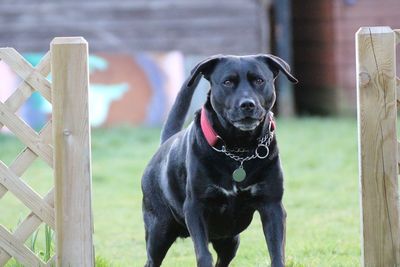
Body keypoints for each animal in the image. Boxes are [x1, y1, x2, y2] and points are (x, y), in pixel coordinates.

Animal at [141, 54, 296, 267]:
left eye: (259, 80)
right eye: (228, 82)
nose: (247, 104)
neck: (238, 150)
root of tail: (164, 144)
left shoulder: (272, 205)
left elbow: (276, 251)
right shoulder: (195, 207)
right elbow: (203, 254)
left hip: (230, 241)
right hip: (159, 230)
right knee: (152, 258)